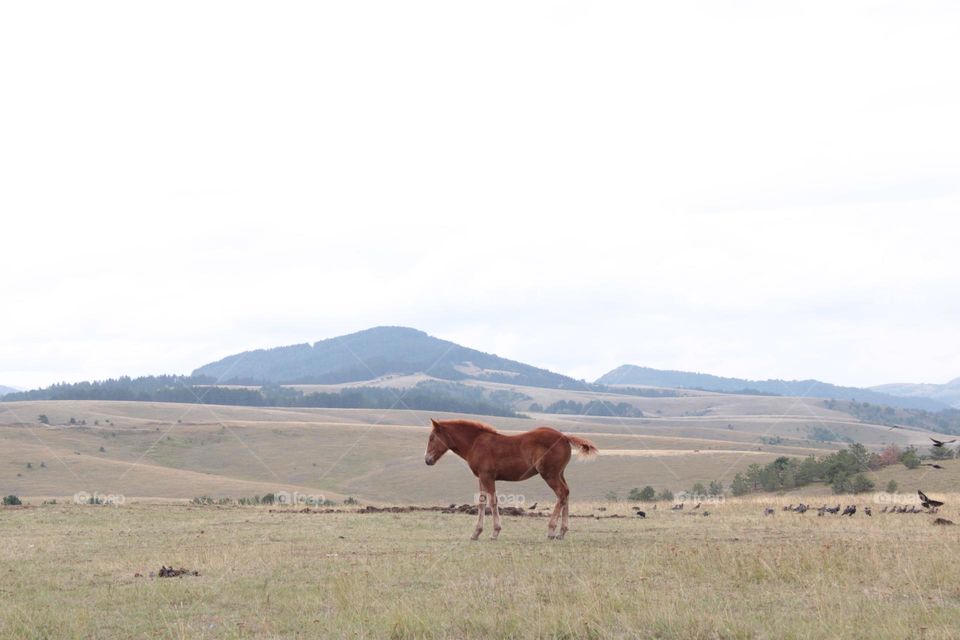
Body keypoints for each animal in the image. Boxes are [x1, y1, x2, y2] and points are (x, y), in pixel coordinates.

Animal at [424, 420, 596, 540]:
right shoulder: (481, 477)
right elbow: (481, 502)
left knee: (561, 493)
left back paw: (551, 530)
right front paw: (476, 533)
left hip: (549, 474)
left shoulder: (488, 476)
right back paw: (562, 532)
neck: (475, 442)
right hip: (560, 473)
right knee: (566, 494)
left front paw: (495, 532)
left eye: (432, 438)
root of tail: (565, 437)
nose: (427, 460)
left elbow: (492, 502)